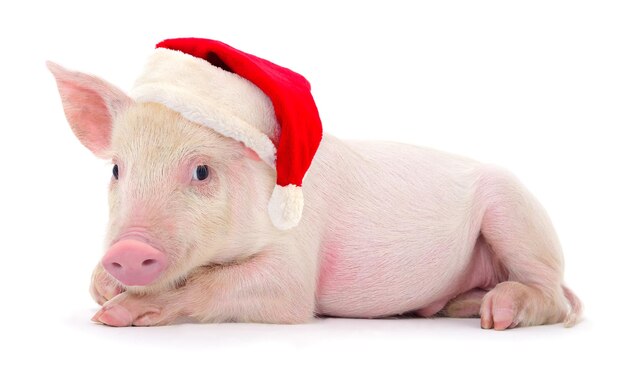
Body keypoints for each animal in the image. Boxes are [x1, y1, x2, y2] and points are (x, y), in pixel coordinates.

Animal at [47, 38, 580, 330]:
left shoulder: (295, 265)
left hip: (516, 214)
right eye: (117, 170)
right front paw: (106, 293)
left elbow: (239, 285)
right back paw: (458, 308)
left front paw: (115, 316)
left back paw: (496, 313)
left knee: (552, 295)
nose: (128, 249)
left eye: (201, 171)